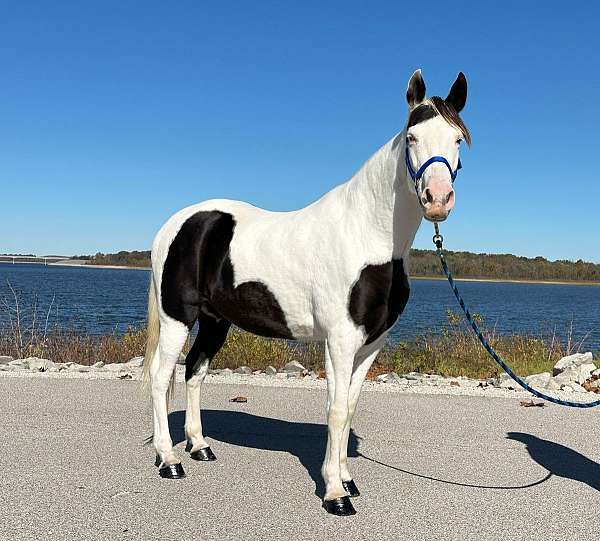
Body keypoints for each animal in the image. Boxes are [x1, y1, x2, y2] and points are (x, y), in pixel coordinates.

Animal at [143, 70, 472, 516]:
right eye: (411, 137)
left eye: (456, 139)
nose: (437, 199)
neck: (365, 236)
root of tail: (175, 224)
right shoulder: (340, 340)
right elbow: (335, 410)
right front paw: (334, 493)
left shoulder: (370, 344)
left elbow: (349, 408)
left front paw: (347, 479)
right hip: (178, 317)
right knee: (162, 378)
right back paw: (169, 460)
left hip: (215, 321)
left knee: (195, 370)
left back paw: (199, 447)